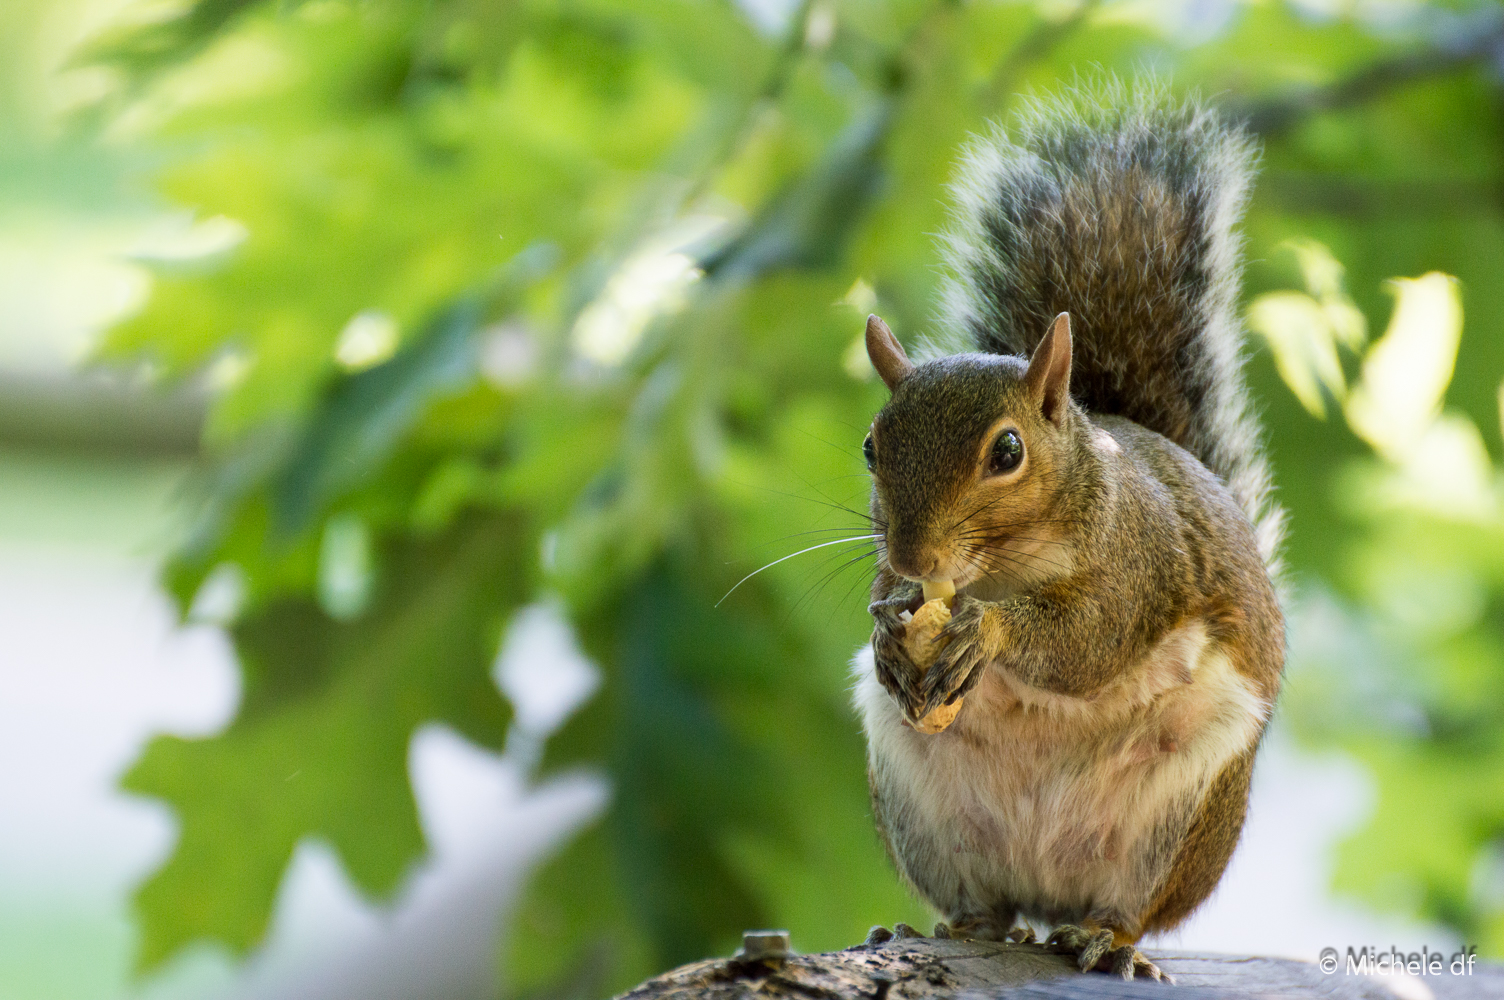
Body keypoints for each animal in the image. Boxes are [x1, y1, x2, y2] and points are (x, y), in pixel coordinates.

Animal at [851, 83, 1285, 982]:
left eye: (1008, 451)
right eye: (871, 446)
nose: (913, 555)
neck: (1002, 566)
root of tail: (1048, 890)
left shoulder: (1139, 564)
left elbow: (1092, 642)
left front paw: (988, 630)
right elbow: (889, 604)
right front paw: (887, 637)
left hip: (1180, 819)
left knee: (1129, 909)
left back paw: (1104, 941)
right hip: (922, 809)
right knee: (985, 900)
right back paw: (956, 924)